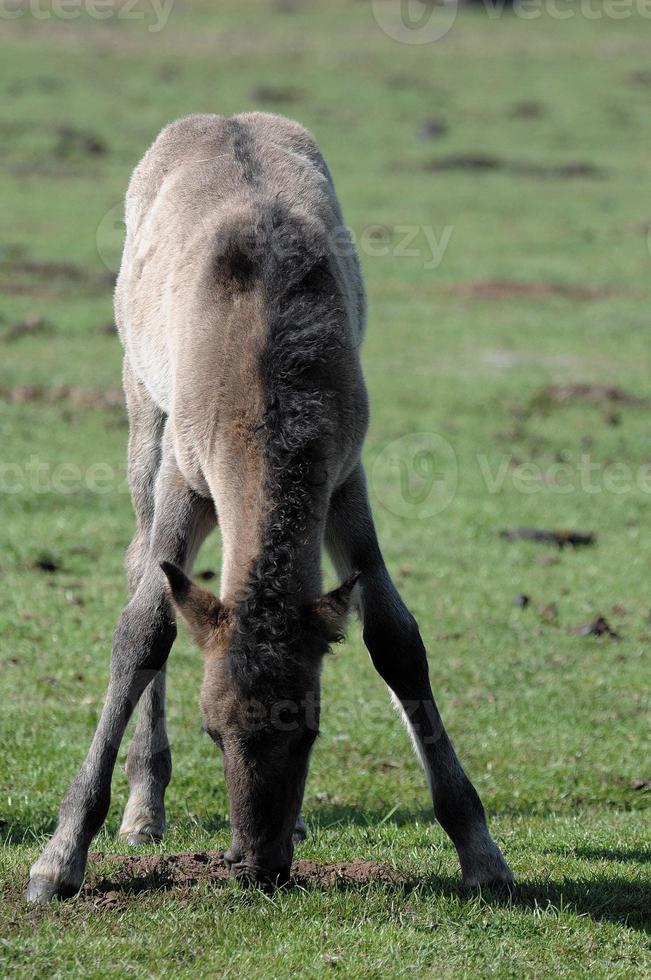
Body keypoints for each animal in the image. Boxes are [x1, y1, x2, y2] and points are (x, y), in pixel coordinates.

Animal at [26, 111, 516, 900]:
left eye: (310, 731)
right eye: (214, 731)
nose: (260, 866)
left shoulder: (346, 475)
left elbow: (395, 637)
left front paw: (481, 851)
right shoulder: (185, 476)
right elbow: (142, 628)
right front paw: (61, 855)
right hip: (142, 409)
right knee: (139, 559)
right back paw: (144, 810)